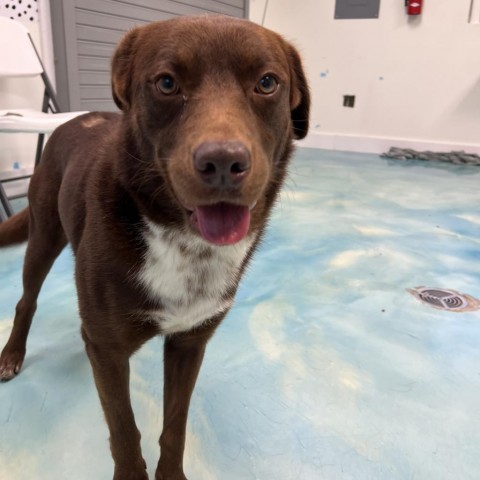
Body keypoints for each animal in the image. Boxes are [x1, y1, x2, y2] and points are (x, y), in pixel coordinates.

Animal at [0, 15, 310, 480]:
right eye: (166, 83)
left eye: (267, 82)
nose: (224, 163)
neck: (181, 241)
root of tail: (74, 120)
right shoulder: (110, 352)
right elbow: (124, 430)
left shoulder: (189, 343)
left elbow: (175, 426)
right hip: (43, 236)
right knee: (26, 300)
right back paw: (12, 354)